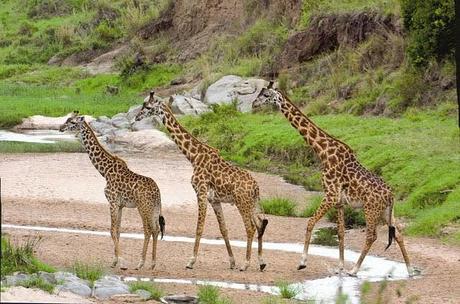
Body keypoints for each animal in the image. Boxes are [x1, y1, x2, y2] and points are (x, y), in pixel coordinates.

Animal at [58, 111, 164, 270]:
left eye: (72, 122)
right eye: (67, 119)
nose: (60, 128)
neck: (105, 171)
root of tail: (157, 192)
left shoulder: (112, 202)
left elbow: (112, 230)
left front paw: (121, 262)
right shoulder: (120, 205)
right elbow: (118, 231)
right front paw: (115, 260)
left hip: (143, 207)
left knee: (148, 230)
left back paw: (141, 263)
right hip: (154, 208)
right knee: (156, 229)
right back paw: (152, 263)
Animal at [135, 92, 268, 270]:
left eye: (148, 106)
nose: (137, 117)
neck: (193, 156)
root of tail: (256, 187)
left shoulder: (201, 192)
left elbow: (199, 228)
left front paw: (191, 261)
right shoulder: (214, 200)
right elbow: (223, 229)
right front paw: (232, 261)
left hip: (242, 203)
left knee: (250, 227)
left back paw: (246, 264)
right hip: (251, 203)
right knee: (260, 224)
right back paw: (261, 262)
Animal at [253, 82, 416, 276]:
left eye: (266, 95)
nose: (254, 104)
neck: (323, 152)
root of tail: (391, 195)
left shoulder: (330, 195)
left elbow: (310, 222)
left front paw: (302, 263)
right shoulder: (339, 202)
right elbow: (341, 232)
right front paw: (339, 267)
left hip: (371, 209)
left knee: (372, 235)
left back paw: (355, 269)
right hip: (386, 211)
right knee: (398, 233)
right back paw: (410, 269)